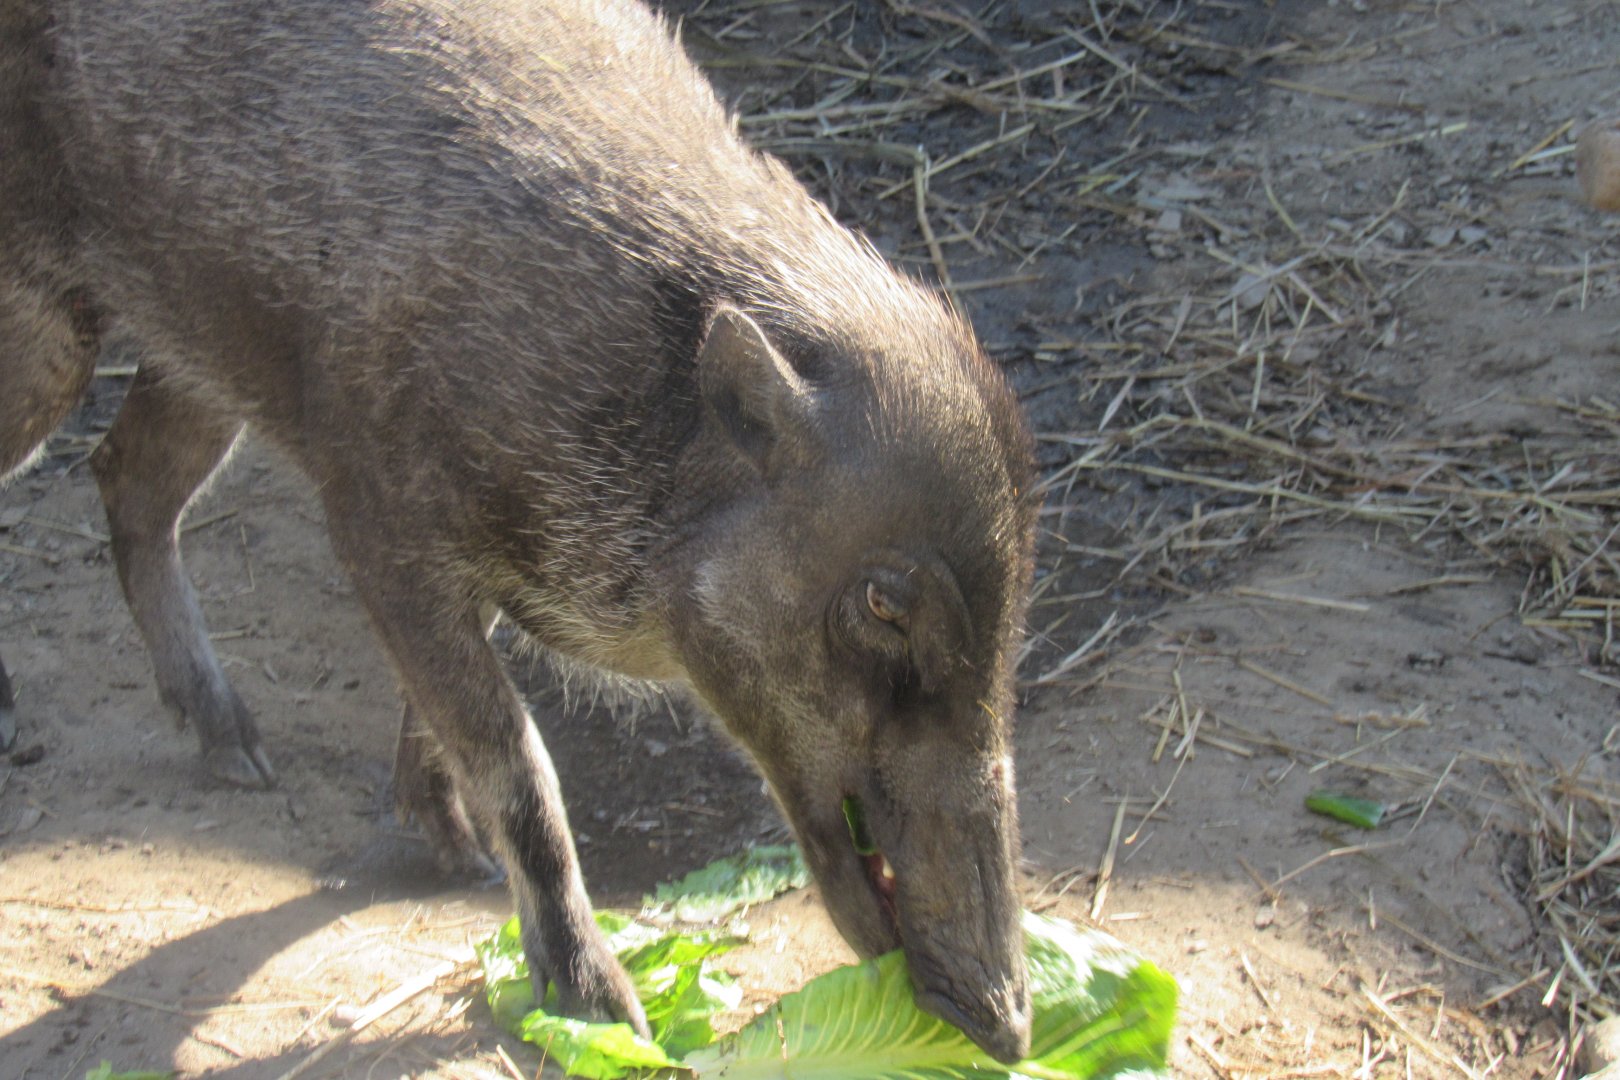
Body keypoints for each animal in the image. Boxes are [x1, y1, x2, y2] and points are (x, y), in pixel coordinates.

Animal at [0, 0, 1038, 1061]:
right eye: (883, 601)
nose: (1009, 1024)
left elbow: (451, 719)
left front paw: (452, 857)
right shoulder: (379, 529)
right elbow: (516, 759)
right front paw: (598, 1009)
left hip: (198, 352)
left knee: (127, 478)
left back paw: (240, 754)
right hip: (46, 328)